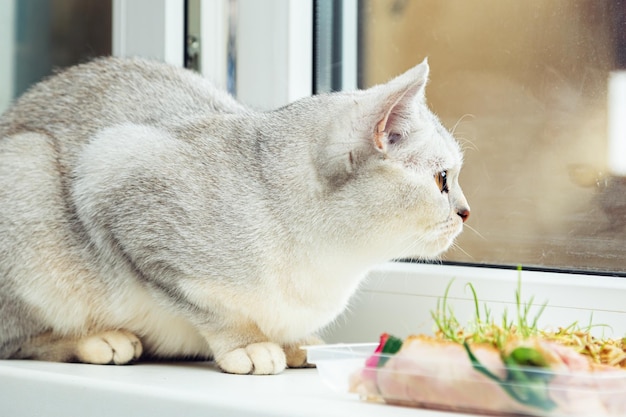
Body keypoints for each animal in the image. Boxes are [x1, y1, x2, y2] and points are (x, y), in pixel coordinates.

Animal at [0, 56, 468, 374]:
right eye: (443, 179)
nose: (466, 211)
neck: (333, 266)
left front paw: (296, 344)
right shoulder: (114, 179)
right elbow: (216, 311)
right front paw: (250, 345)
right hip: (29, 180)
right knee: (19, 342)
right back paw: (99, 340)